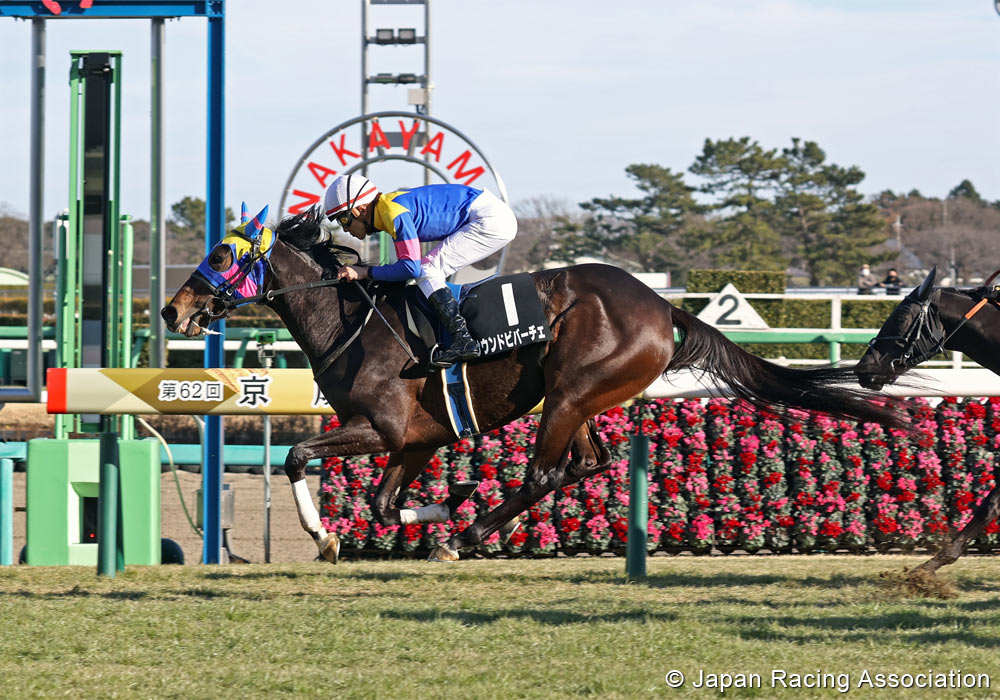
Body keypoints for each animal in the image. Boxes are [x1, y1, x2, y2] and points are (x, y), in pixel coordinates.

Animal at [161, 206, 905, 563]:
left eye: (222, 253)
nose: (171, 311)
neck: (352, 320)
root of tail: (663, 306)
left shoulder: (382, 428)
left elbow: (297, 456)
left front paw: (327, 537)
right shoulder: (417, 440)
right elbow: (382, 504)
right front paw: (444, 505)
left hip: (571, 393)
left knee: (548, 472)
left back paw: (470, 535)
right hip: (582, 398)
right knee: (588, 462)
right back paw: (475, 525)